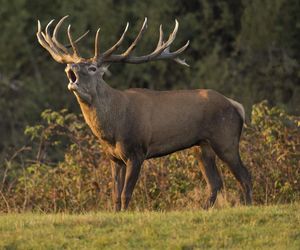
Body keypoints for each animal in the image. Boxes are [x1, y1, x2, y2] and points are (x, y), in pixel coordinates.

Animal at [37, 15, 253, 211]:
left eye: (92, 68)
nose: (70, 66)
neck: (112, 128)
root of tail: (236, 106)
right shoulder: (113, 157)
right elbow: (115, 195)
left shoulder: (137, 151)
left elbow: (126, 193)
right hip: (202, 146)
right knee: (215, 183)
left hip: (225, 138)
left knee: (245, 176)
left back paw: (248, 205)